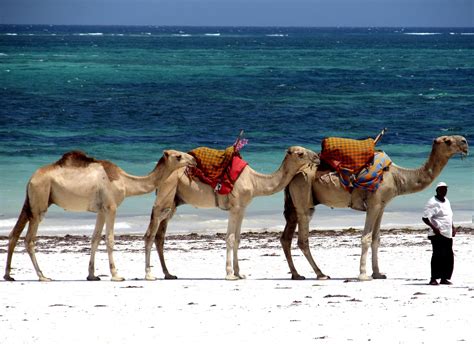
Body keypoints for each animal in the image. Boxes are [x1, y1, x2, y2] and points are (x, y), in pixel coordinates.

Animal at [2, 150, 195, 282]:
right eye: (178, 156)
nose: (193, 159)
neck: (125, 182)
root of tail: (31, 179)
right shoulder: (111, 207)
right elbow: (109, 239)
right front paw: (116, 275)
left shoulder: (101, 211)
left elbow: (95, 238)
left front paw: (92, 275)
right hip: (40, 201)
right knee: (29, 239)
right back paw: (42, 276)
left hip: (31, 202)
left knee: (14, 234)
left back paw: (8, 275)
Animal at [144, 146, 320, 280]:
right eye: (300, 153)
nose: (317, 157)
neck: (255, 181)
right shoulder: (234, 207)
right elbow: (229, 238)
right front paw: (229, 274)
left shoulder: (242, 208)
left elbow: (237, 239)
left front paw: (239, 273)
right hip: (165, 194)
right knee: (150, 234)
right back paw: (149, 274)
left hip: (173, 202)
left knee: (160, 236)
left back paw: (168, 274)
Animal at [280, 134, 468, 280]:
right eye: (447, 141)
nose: (465, 142)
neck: (397, 177)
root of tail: (294, 174)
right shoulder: (374, 204)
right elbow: (366, 237)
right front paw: (363, 275)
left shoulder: (382, 206)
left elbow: (376, 239)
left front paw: (378, 273)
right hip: (303, 191)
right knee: (302, 239)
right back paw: (320, 274)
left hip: (294, 202)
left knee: (286, 237)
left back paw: (296, 275)